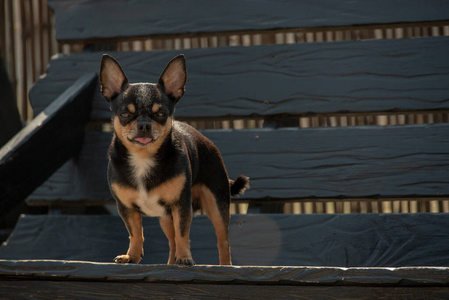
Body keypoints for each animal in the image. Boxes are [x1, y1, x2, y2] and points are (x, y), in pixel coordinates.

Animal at [99, 54, 248, 264]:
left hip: (217, 204)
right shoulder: (126, 208)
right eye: (125, 114)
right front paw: (132, 256)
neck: (143, 158)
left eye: (161, 114)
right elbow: (136, 233)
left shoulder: (182, 205)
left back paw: (225, 265)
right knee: (171, 242)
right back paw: (170, 263)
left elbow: (183, 233)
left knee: (222, 241)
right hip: (165, 216)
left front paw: (185, 258)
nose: (144, 125)